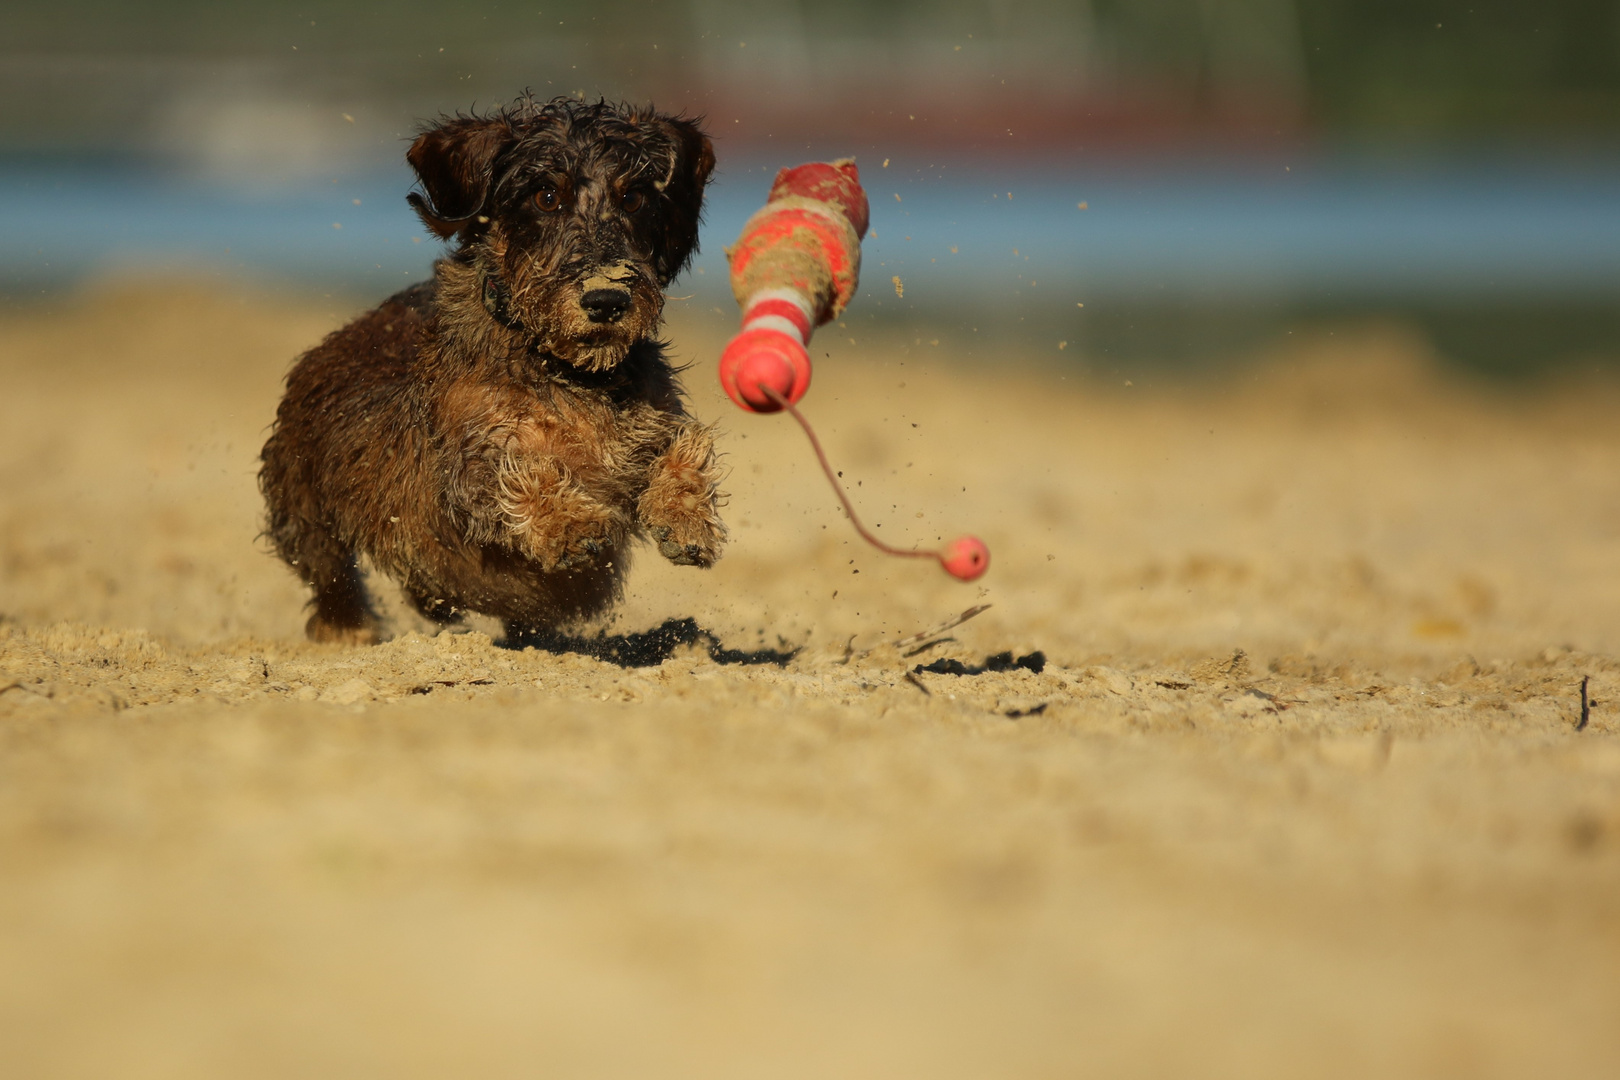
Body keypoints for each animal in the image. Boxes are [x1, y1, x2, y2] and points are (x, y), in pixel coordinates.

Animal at [260, 97, 729, 641]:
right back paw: (346, 627)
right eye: (546, 196)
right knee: (330, 575)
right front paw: (567, 523)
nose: (606, 299)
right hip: (303, 508)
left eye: (632, 198)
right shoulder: (460, 476)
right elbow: (514, 467)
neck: (571, 372)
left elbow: (685, 442)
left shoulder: (655, 417)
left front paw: (685, 516)